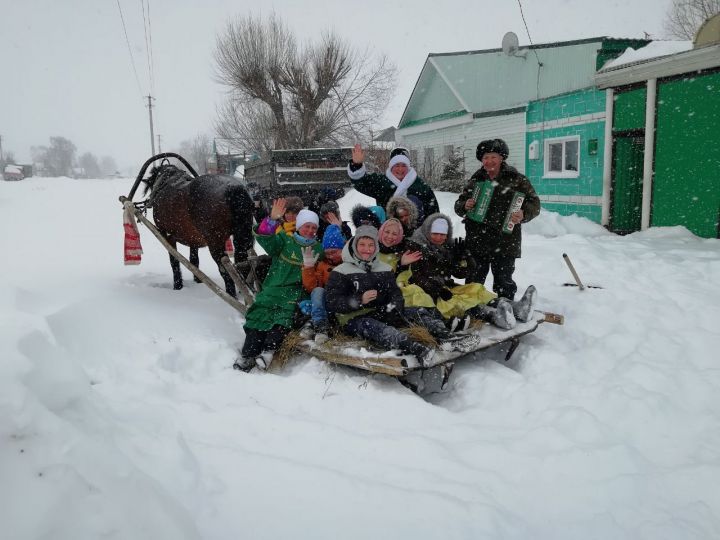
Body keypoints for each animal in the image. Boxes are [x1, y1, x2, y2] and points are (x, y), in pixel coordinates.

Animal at [134, 154, 255, 300]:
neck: (167, 182)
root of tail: (233, 188)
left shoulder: (167, 236)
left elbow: (174, 262)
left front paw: (178, 286)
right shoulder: (193, 238)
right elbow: (194, 260)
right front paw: (198, 280)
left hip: (215, 243)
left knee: (226, 271)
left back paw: (231, 295)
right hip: (245, 237)